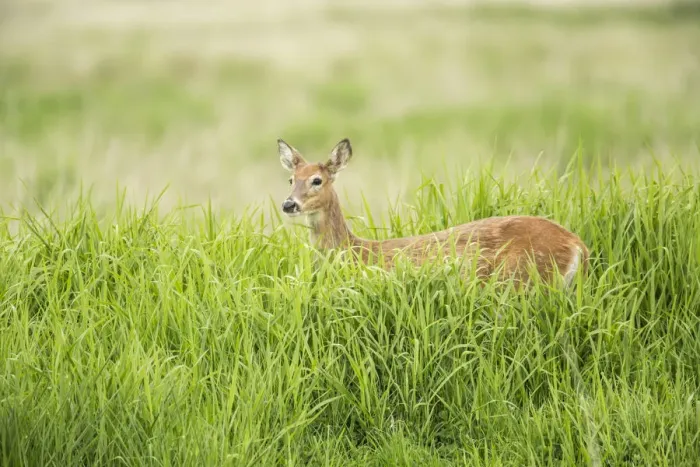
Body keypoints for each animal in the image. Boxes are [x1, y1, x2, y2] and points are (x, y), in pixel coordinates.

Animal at [277, 137, 590, 288]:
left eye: (317, 180)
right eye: (291, 179)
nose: (289, 204)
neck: (353, 253)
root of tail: (577, 245)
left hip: (524, 281)